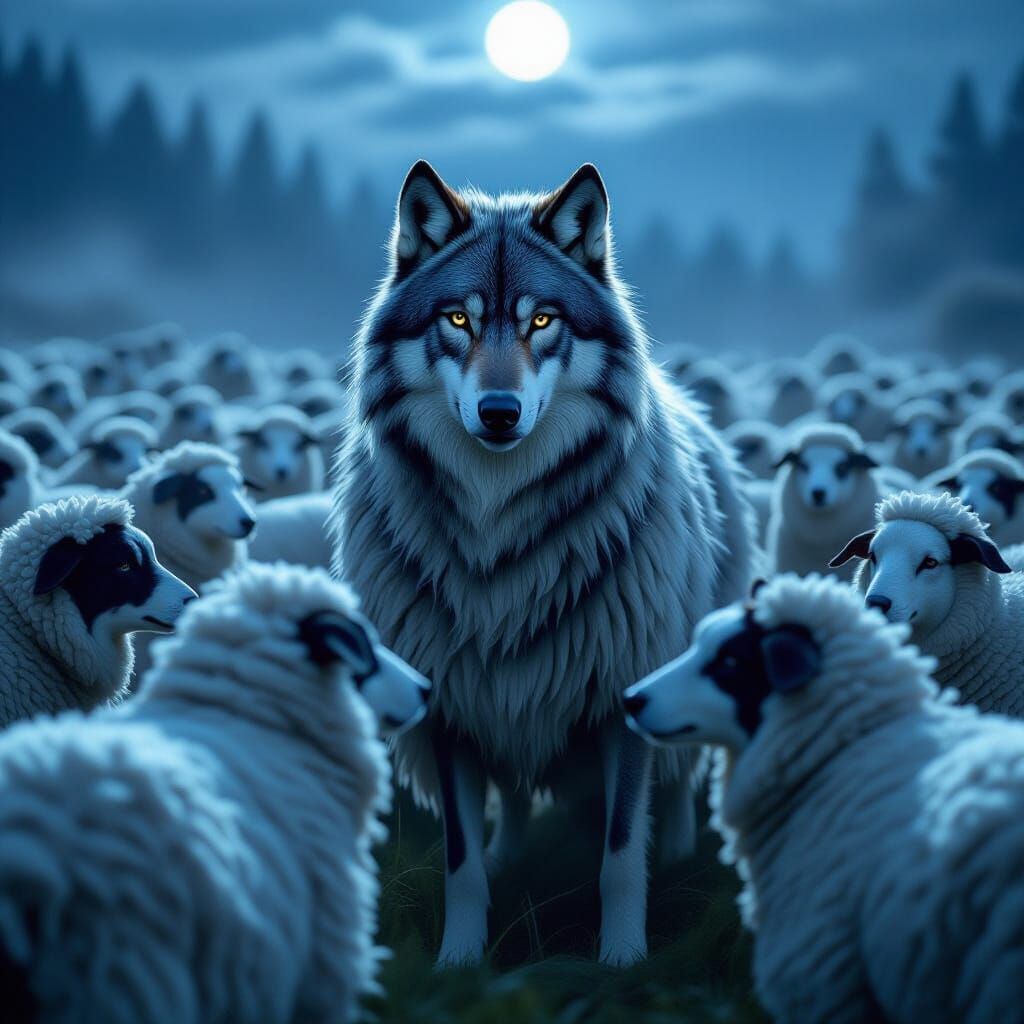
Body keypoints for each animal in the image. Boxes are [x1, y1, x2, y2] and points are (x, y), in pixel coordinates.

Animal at [330, 161, 756, 966]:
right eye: (457, 321)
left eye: (541, 322)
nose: (499, 412)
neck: (500, 532)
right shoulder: (452, 705)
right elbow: (461, 861)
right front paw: (459, 961)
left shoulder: (625, 697)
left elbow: (619, 856)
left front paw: (622, 959)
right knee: (516, 798)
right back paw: (510, 856)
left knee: (680, 775)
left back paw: (681, 853)